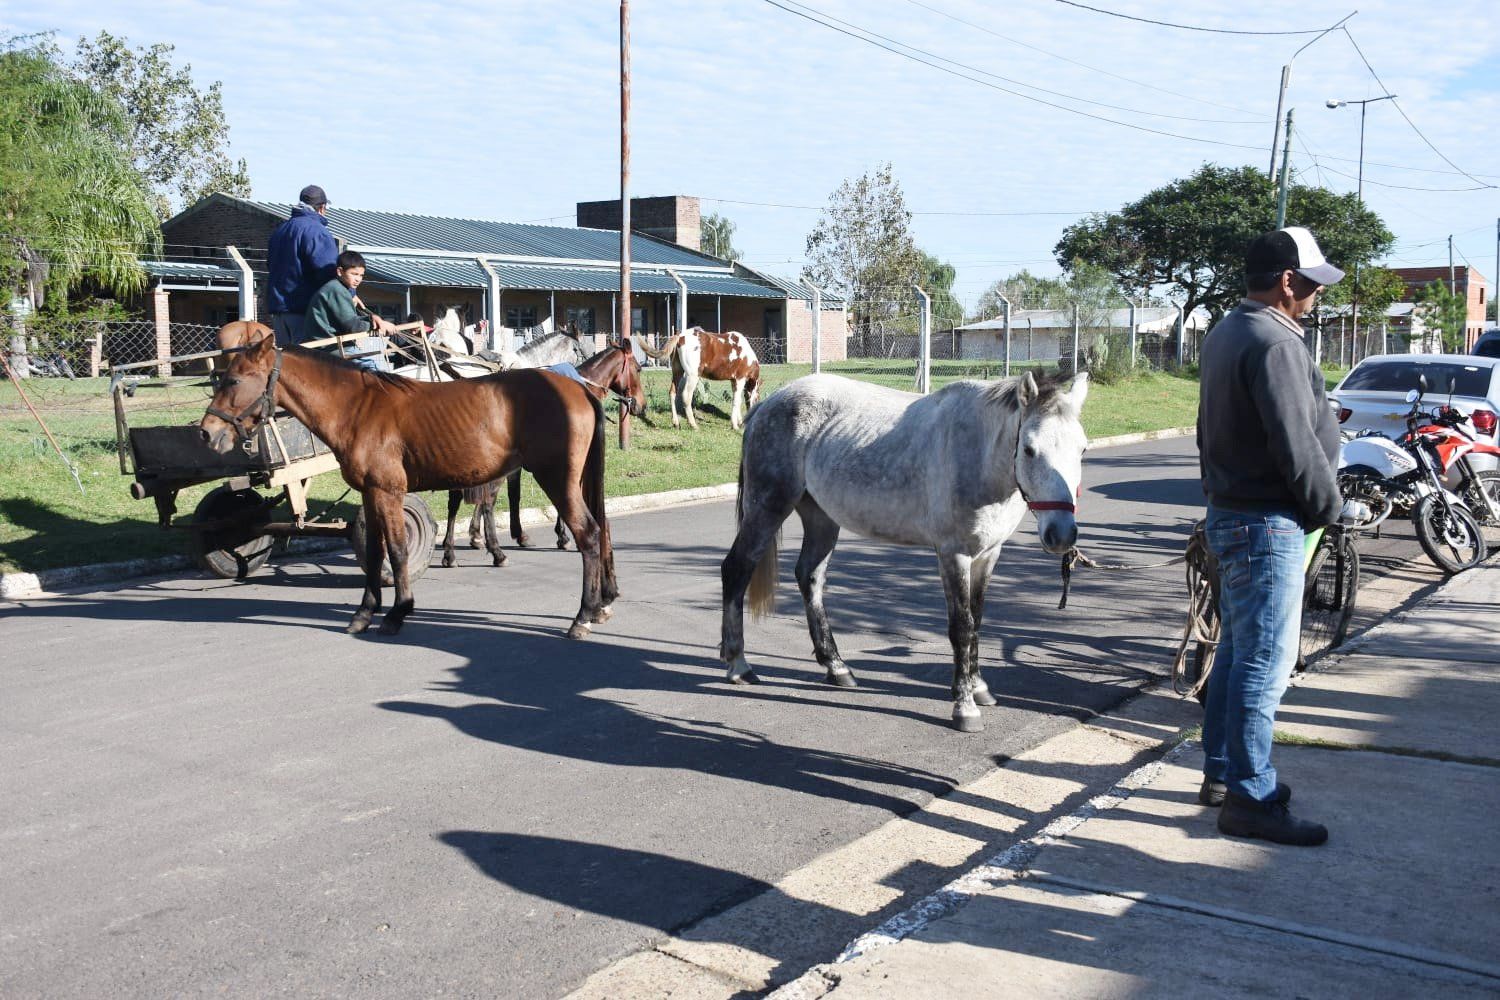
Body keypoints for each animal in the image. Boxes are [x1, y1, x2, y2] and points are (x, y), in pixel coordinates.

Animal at [199, 325, 615, 638]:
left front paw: (399, 612)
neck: (357, 408)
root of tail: (578, 388)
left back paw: (583, 615)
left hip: (557, 479)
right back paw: (596, 606)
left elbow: (398, 551)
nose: (207, 433)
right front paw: (364, 614)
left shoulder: (389, 493)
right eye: (222, 378)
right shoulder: (371, 495)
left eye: (234, 379)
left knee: (588, 534)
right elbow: (374, 552)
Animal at [444, 341, 651, 563]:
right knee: (482, 500)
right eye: (638, 369)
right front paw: (563, 536)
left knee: (459, 499)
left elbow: (510, 495)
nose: (641, 405)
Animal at [717, 371, 1092, 731]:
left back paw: (836, 666)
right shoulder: (953, 555)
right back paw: (739, 664)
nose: (1061, 534)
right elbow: (962, 627)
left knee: (809, 577)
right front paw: (964, 707)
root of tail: (767, 405)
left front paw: (978, 687)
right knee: (737, 569)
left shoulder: (988, 555)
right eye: (1029, 449)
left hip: (821, 517)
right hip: (768, 508)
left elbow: (978, 621)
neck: (978, 453)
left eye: (1082, 450)